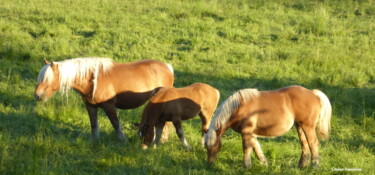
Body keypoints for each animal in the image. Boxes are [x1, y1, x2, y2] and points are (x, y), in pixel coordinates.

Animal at [35, 57, 175, 142]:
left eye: (47, 78)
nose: (37, 95)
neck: (92, 79)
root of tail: (168, 67)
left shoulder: (109, 106)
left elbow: (115, 123)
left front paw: (123, 140)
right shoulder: (90, 106)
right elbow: (94, 124)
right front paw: (94, 141)